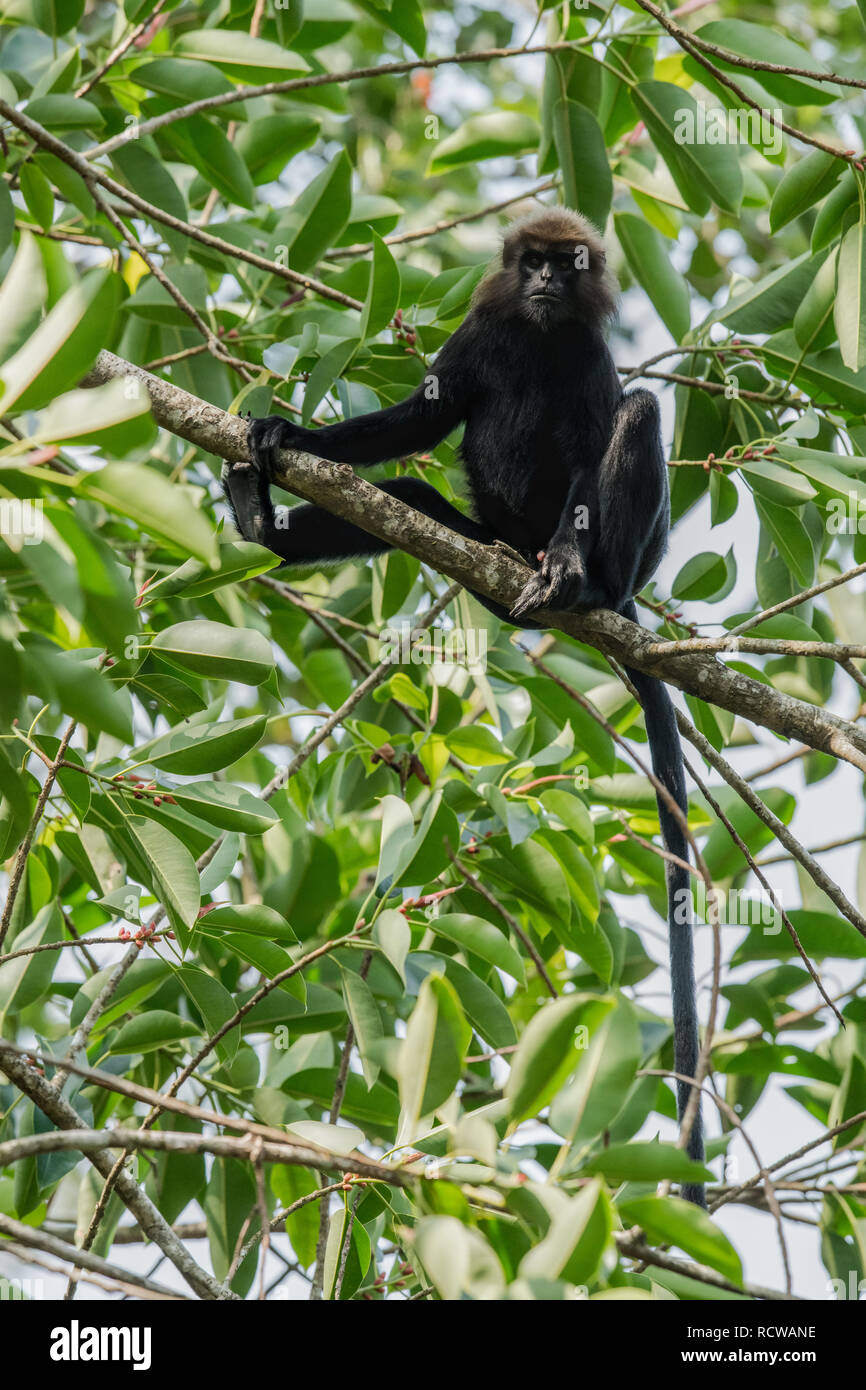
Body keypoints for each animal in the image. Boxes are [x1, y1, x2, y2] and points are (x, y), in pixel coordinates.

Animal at [222, 208, 705, 1205]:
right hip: (478, 541)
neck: (540, 337)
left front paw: (570, 558)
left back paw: (581, 585)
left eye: (573, 262)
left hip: (632, 558)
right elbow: (423, 417)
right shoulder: (478, 341)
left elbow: (597, 436)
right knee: (407, 496)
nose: (551, 281)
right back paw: (263, 526)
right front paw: (281, 434)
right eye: (535, 263)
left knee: (638, 415)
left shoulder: (589, 360)